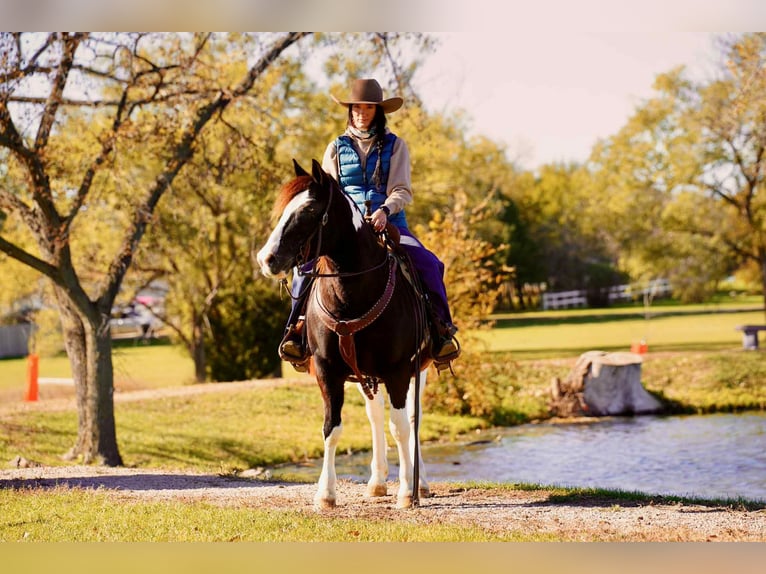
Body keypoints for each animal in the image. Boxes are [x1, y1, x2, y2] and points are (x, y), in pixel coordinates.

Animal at [256, 158, 432, 509]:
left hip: (417, 371)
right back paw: (377, 482)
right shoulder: (327, 371)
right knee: (375, 416)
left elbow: (401, 427)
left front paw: (407, 491)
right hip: (367, 377)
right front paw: (326, 494)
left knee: (412, 420)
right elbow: (331, 428)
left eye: (309, 211)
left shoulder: (399, 371)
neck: (353, 293)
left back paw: (419, 483)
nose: (266, 259)